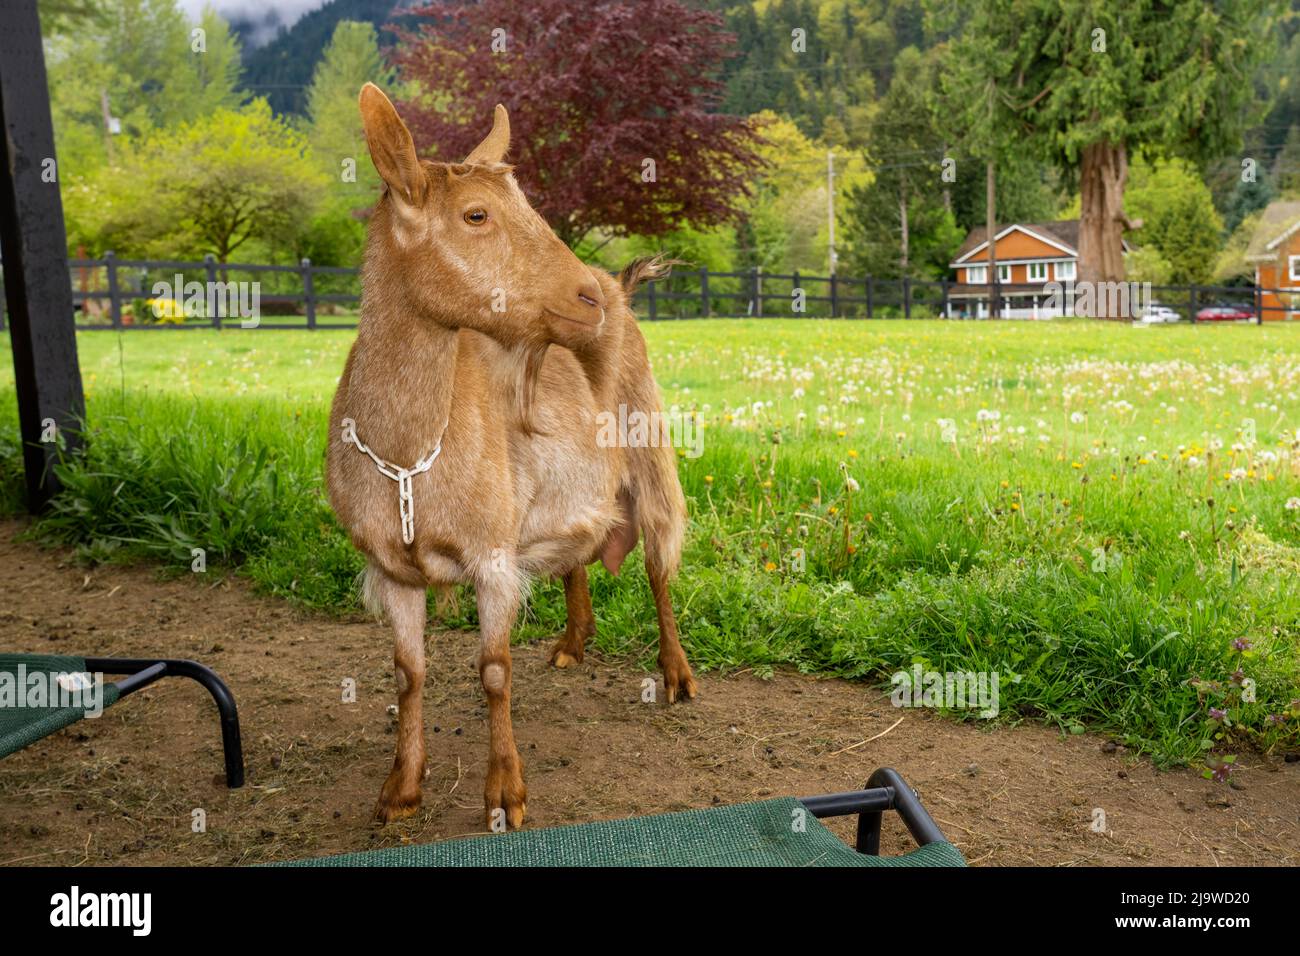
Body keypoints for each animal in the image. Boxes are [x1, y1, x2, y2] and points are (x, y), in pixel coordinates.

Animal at [325, 85, 696, 827]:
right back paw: (574, 639)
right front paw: (401, 790)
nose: (587, 298)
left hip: (651, 452)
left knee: (657, 564)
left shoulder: (492, 556)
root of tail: (624, 285)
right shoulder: (391, 568)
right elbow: (408, 673)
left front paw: (505, 794)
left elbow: (494, 671)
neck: (408, 457)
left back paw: (675, 674)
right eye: (476, 214)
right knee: (582, 549)